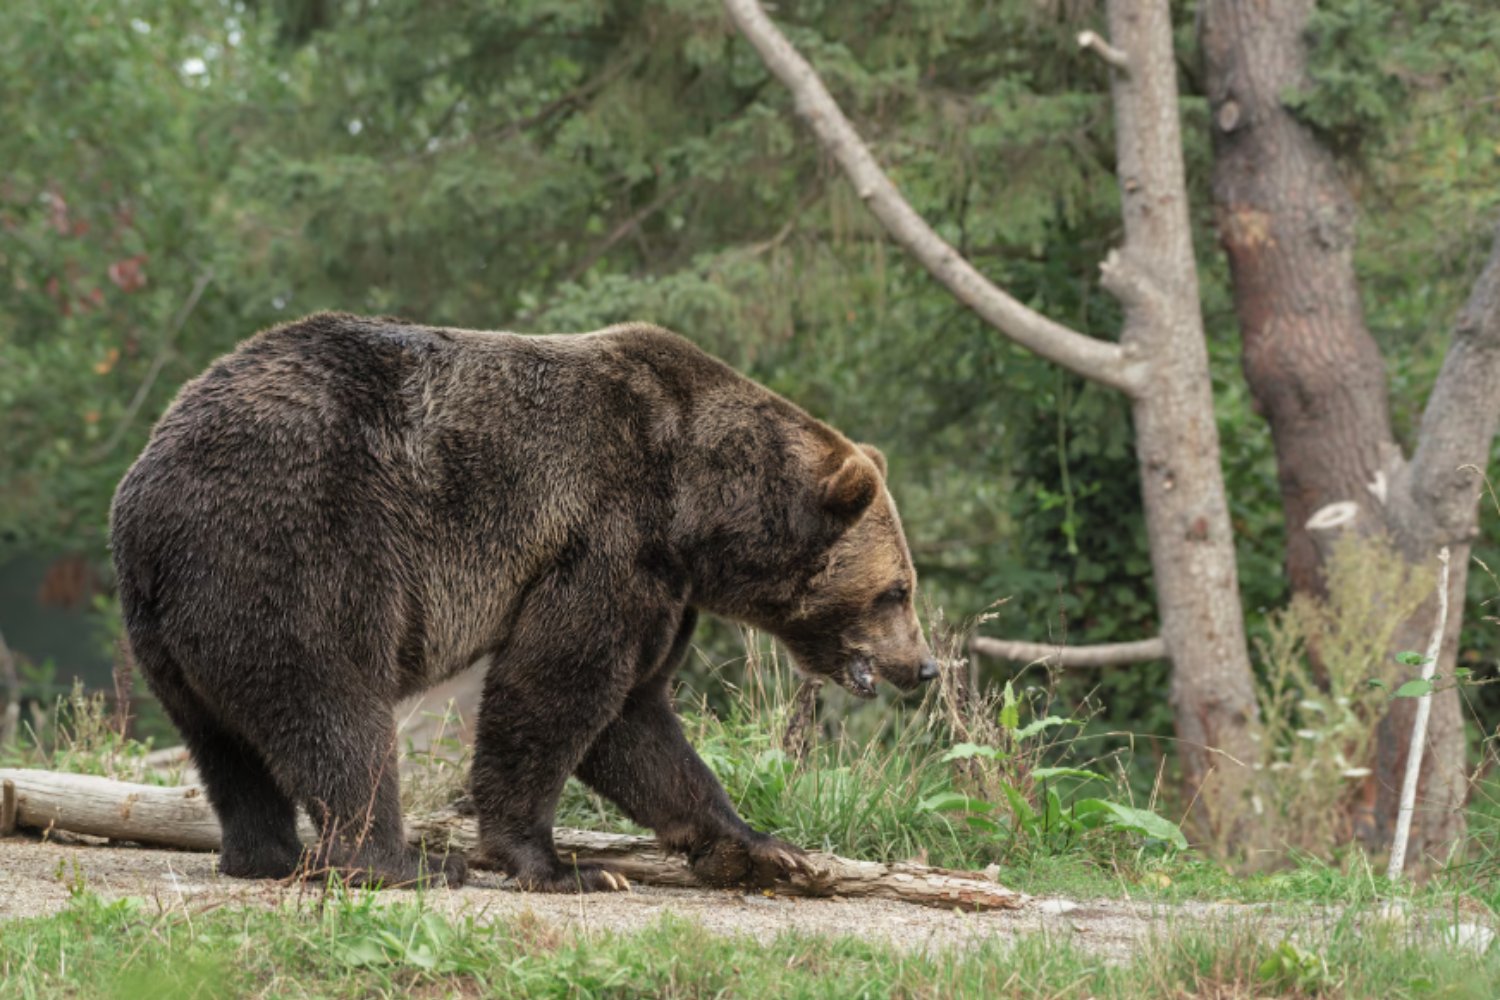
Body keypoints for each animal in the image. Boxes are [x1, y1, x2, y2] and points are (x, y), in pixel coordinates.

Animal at [110, 312, 936, 892]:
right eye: (897, 590)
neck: (700, 510)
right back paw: (399, 862)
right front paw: (561, 864)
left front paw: (766, 850)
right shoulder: (607, 534)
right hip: (298, 545)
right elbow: (558, 687)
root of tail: (147, 492)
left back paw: (266, 855)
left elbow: (635, 720)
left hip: (169, 627)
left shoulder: (664, 585)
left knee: (225, 743)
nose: (924, 667)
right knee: (334, 708)